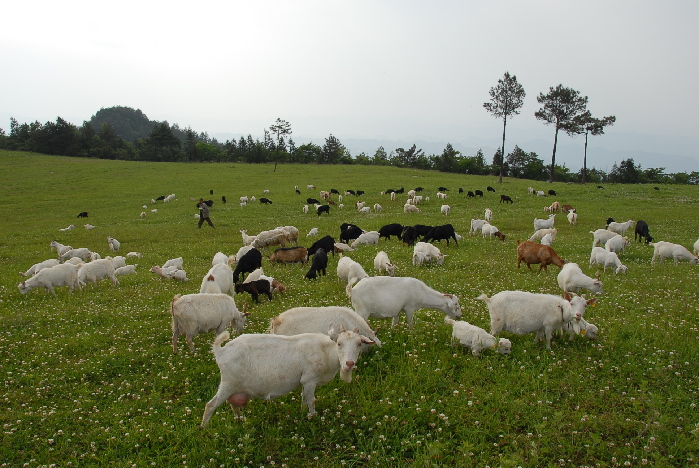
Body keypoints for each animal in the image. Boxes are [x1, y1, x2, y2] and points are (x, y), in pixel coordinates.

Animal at [201, 326, 374, 426]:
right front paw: (313, 417)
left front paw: (303, 415)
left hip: (234, 387)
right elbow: (311, 400)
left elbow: (304, 399)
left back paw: (240, 420)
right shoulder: (309, 379)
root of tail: (220, 351)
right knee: (210, 405)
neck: (325, 351)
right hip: (228, 383)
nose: (349, 363)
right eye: (339, 343)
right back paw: (205, 428)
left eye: (359, 344)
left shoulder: (304, 382)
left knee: (233, 404)